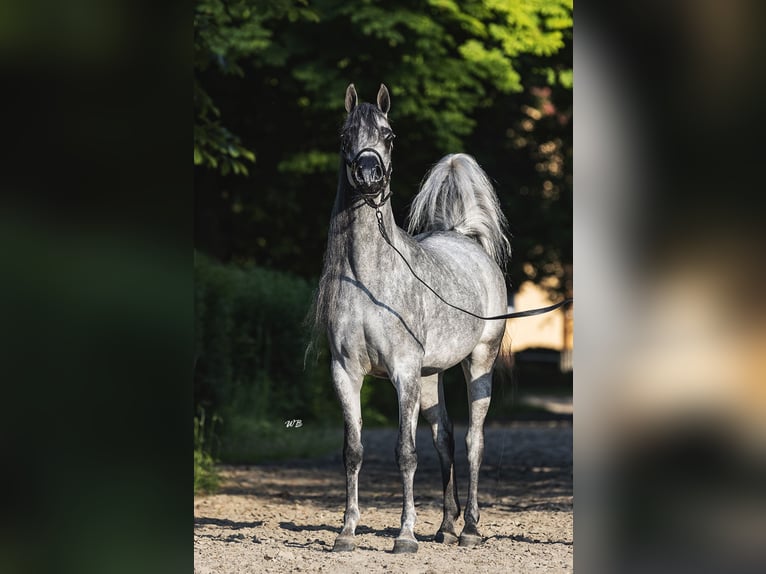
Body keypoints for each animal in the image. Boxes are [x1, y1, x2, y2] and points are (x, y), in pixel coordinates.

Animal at [310, 83, 512, 554]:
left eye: (389, 135)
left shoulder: (403, 372)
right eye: (344, 135)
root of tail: (463, 237)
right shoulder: (346, 373)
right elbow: (354, 450)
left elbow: (405, 452)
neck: (370, 280)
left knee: (474, 441)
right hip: (431, 376)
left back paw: (470, 528)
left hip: (478, 362)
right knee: (446, 441)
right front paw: (346, 532)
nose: (369, 177)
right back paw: (446, 526)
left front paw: (404, 536)